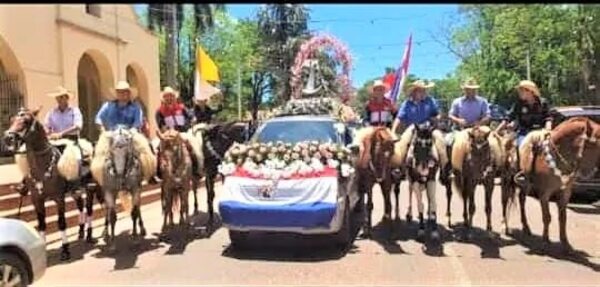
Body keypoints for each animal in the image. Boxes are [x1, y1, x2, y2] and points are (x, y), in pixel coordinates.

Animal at [3, 107, 72, 260]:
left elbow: (62, 222)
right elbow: (41, 224)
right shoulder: (37, 200)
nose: (8, 139)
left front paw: (65, 250)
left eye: (26, 121)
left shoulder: (59, 198)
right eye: (11, 120)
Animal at [506, 117, 600, 252]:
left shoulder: (565, 193)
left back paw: (526, 227)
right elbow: (547, 217)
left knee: (521, 199)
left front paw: (566, 244)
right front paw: (545, 241)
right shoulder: (545, 193)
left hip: (526, 186)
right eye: (595, 145)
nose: (592, 173)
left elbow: (563, 218)